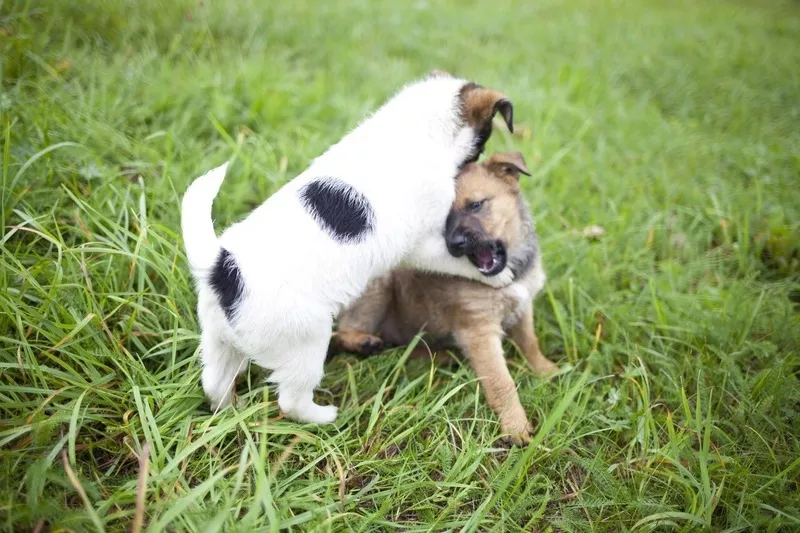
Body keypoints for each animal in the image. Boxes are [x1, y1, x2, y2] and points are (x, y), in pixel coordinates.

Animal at [180, 70, 516, 422]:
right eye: (483, 139)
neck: (411, 130)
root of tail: (222, 269)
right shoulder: (426, 245)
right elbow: (457, 261)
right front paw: (499, 276)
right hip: (307, 342)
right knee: (291, 400)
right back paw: (324, 416)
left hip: (219, 341)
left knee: (215, 383)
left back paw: (231, 410)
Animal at [332, 152, 556, 442]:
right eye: (441, 223)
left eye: (475, 205)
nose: (454, 244)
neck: (511, 273)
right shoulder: (479, 331)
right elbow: (501, 382)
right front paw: (516, 427)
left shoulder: (523, 305)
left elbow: (530, 342)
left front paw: (545, 370)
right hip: (377, 284)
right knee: (344, 331)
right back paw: (364, 342)